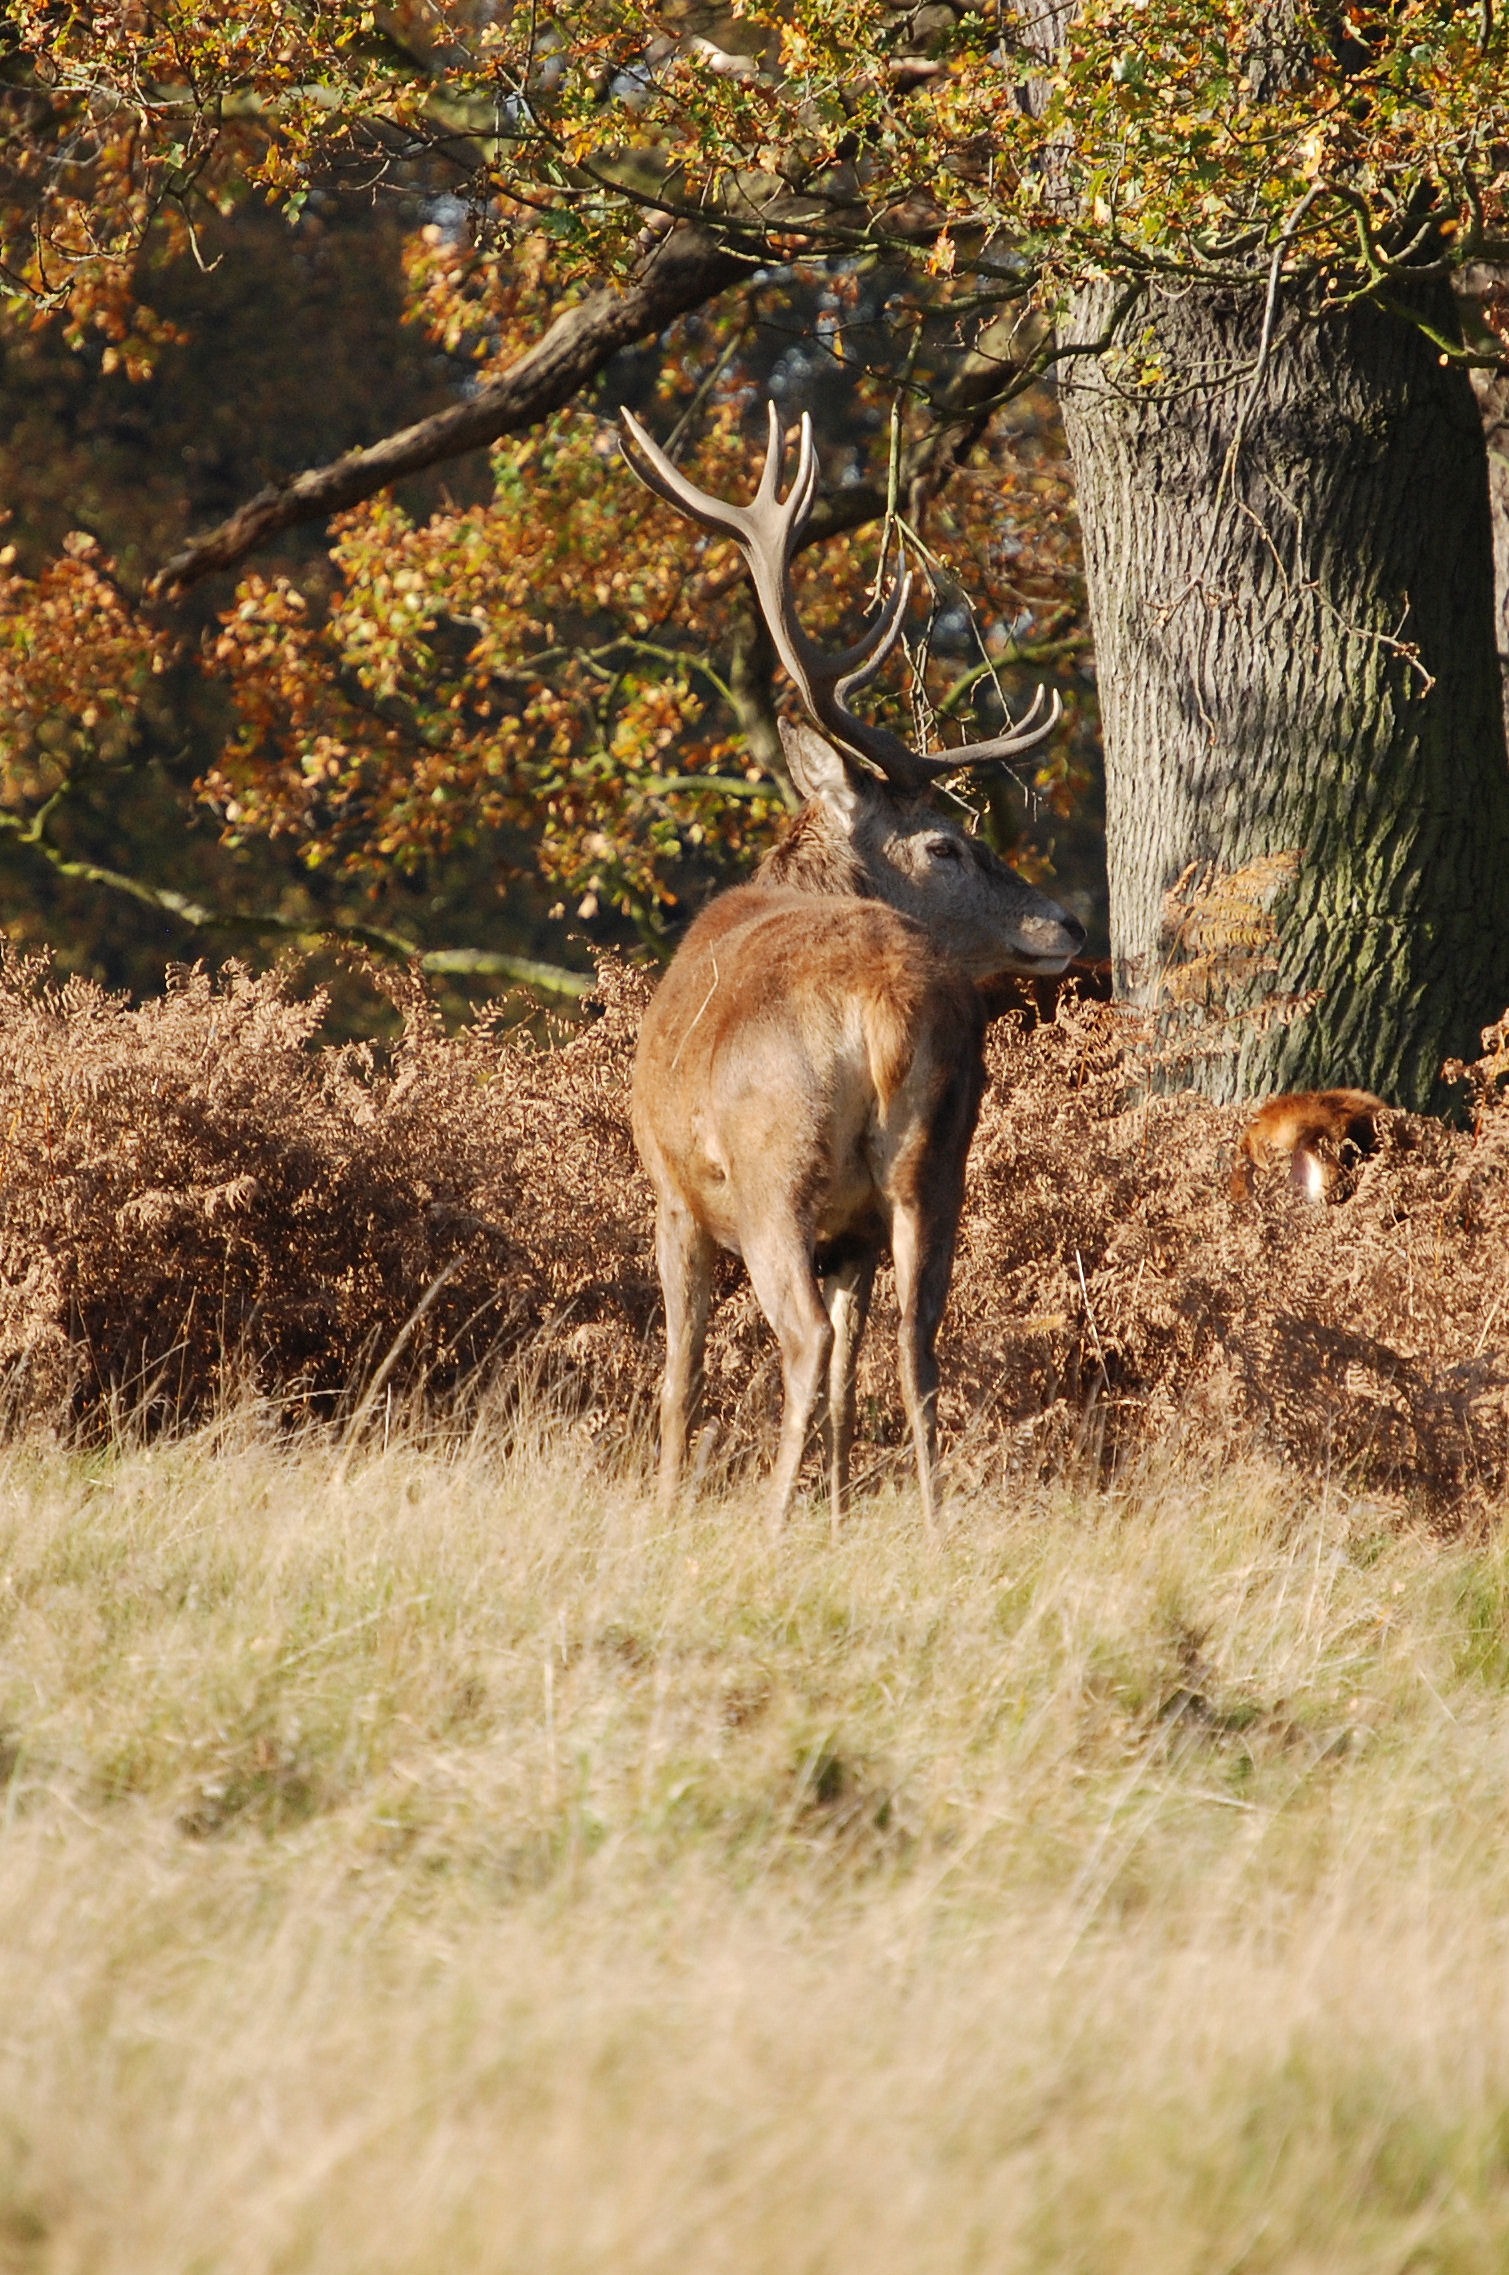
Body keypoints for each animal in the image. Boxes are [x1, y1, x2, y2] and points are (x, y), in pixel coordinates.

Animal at [620, 402, 1086, 1533]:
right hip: (937, 1163)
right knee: (917, 1345)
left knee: (804, 1340)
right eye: (947, 845)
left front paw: (669, 1506)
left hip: (769, 1168)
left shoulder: (673, 1192)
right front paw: (838, 1508)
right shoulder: (855, 1234)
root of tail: (886, 1004)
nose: (1066, 922)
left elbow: (681, 1374)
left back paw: (771, 1524)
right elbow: (854, 1372)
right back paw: (929, 1521)